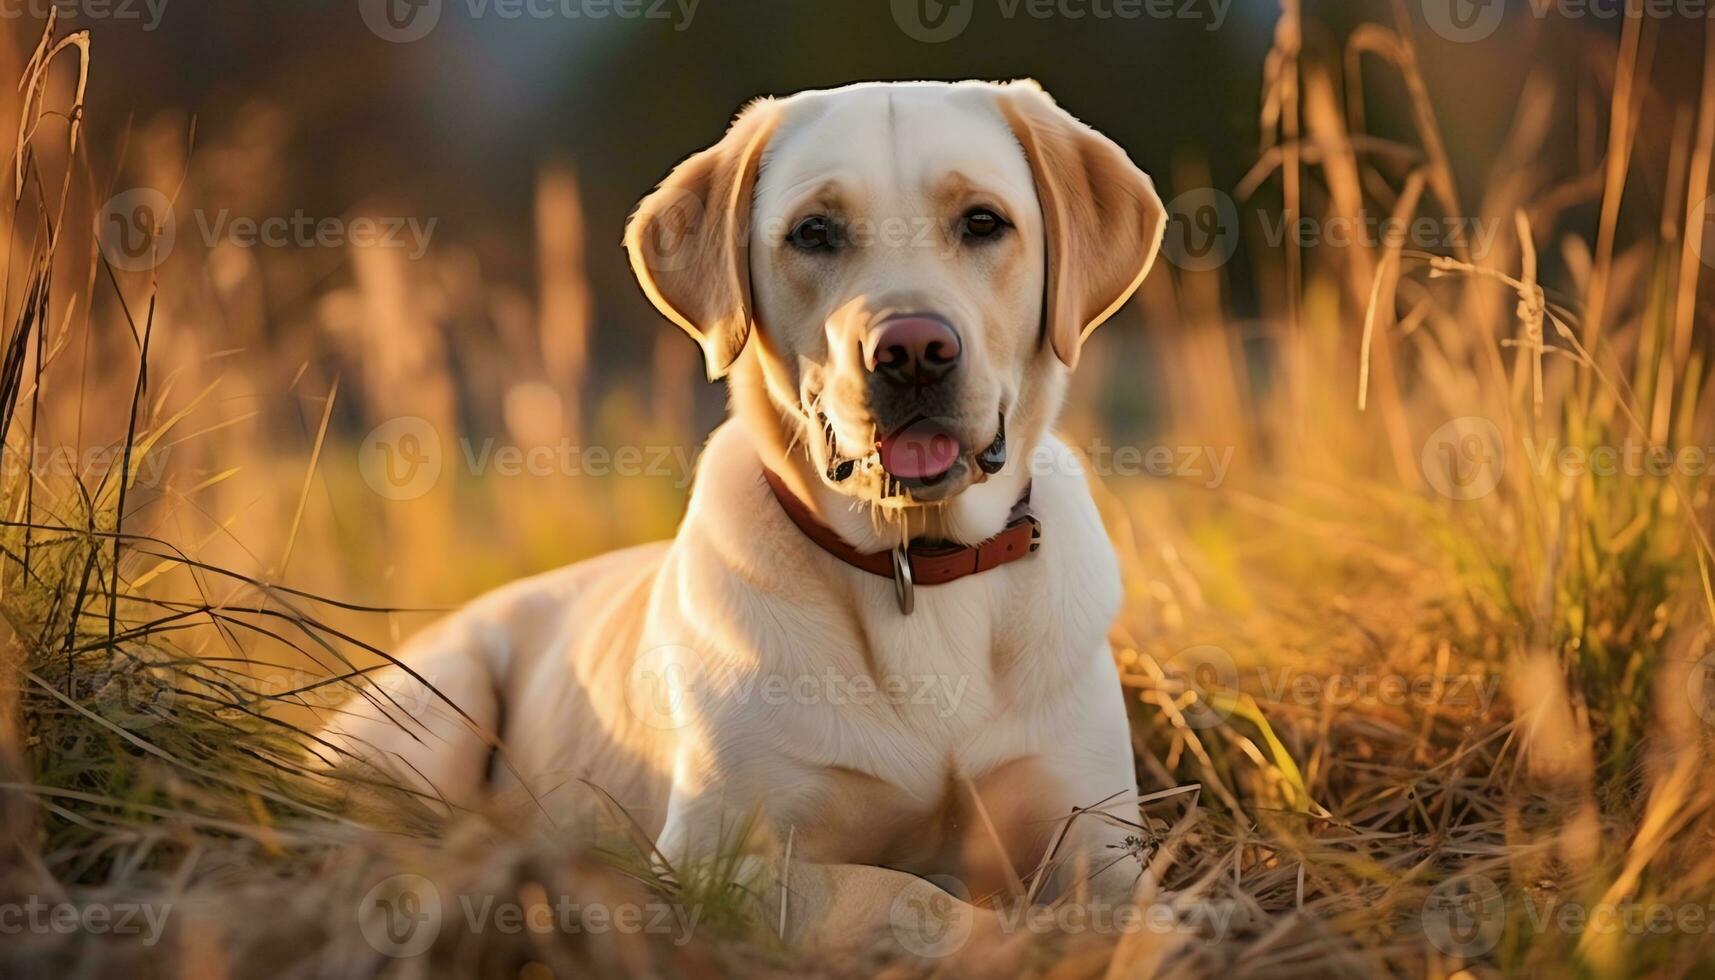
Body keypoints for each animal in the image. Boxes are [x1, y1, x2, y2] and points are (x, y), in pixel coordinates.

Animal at [324, 80, 1166, 926]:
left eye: (983, 222)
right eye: (813, 232)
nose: (912, 352)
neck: (913, 561)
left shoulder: (1099, 840)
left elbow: (1135, 910)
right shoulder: (715, 860)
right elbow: (907, 896)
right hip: (437, 703)